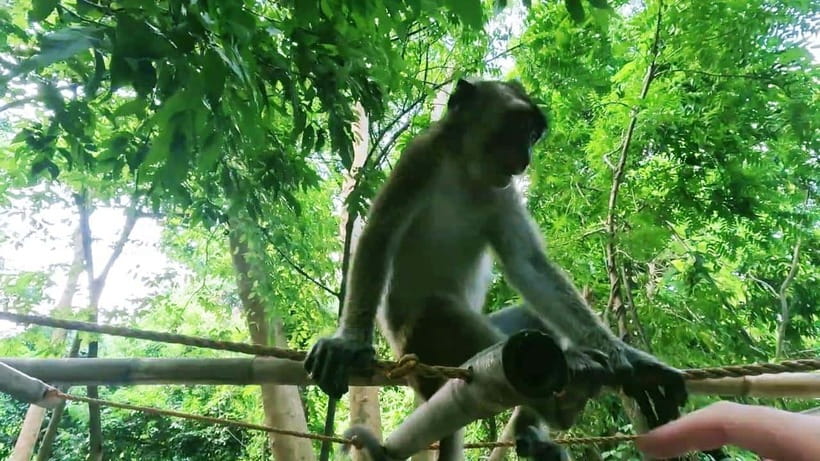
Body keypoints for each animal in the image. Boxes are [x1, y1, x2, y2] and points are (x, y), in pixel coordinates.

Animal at [304, 78, 688, 460]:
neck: (464, 168)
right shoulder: (421, 159)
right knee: (442, 314)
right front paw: (349, 342)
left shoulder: (502, 189)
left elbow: (527, 263)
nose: (525, 156)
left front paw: (630, 357)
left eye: (532, 134)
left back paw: (537, 428)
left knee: (531, 323)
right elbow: (379, 235)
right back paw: (565, 388)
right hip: (421, 343)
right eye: (517, 126)